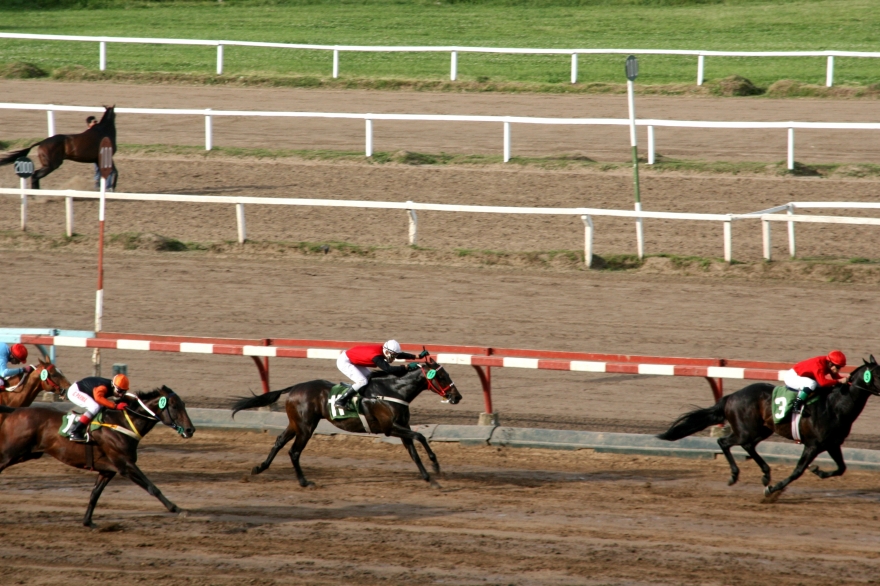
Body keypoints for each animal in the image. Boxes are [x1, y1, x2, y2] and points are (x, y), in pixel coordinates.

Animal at [0, 384, 194, 524]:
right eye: (174, 406)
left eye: (184, 404)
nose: (190, 430)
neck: (123, 424)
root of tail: (15, 410)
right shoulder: (125, 464)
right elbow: (152, 487)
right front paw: (177, 509)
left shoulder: (108, 470)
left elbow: (95, 494)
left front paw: (87, 521)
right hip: (12, 452)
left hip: (27, 454)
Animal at [660, 354, 880, 496]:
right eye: (878, 374)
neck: (835, 406)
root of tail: (731, 396)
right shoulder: (813, 444)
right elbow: (798, 470)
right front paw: (773, 490)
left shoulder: (833, 444)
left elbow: (841, 468)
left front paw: (817, 471)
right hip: (746, 430)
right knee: (724, 442)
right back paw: (736, 475)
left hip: (761, 429)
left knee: (747, 446)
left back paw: (765, 474)